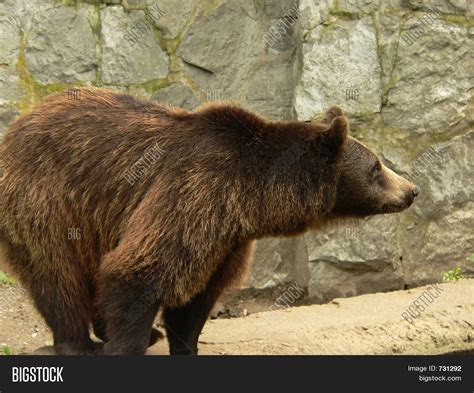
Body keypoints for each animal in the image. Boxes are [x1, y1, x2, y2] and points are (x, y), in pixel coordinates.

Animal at [0, 87, 418, 354]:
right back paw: (78, 343)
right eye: (377, 167)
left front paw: (183, 344)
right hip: (47, 199)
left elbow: (198, 296)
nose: (412, 189)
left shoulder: (226, 238)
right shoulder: (193, 193)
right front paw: (127, 345)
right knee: (57, 273)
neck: (251, 197)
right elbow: (138, 269)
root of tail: (17, 126)